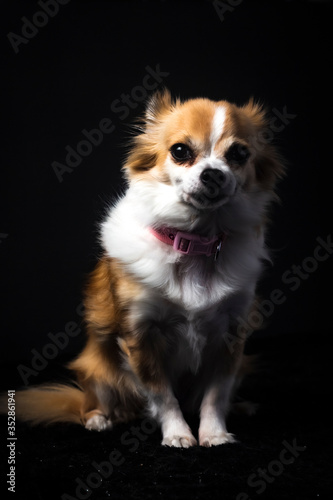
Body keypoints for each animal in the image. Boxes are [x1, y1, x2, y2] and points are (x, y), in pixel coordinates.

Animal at [2, 91, 282, 450]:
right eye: (180, 151)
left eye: (239, 154)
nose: (213, 174)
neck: (195, 242)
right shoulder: (140, 336)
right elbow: (163, 395)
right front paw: (178, 433)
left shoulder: (231, 337)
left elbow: (215, 394)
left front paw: (214, 433)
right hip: (99, 370)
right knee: (94, 401)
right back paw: (99, 419)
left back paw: (241, 407)